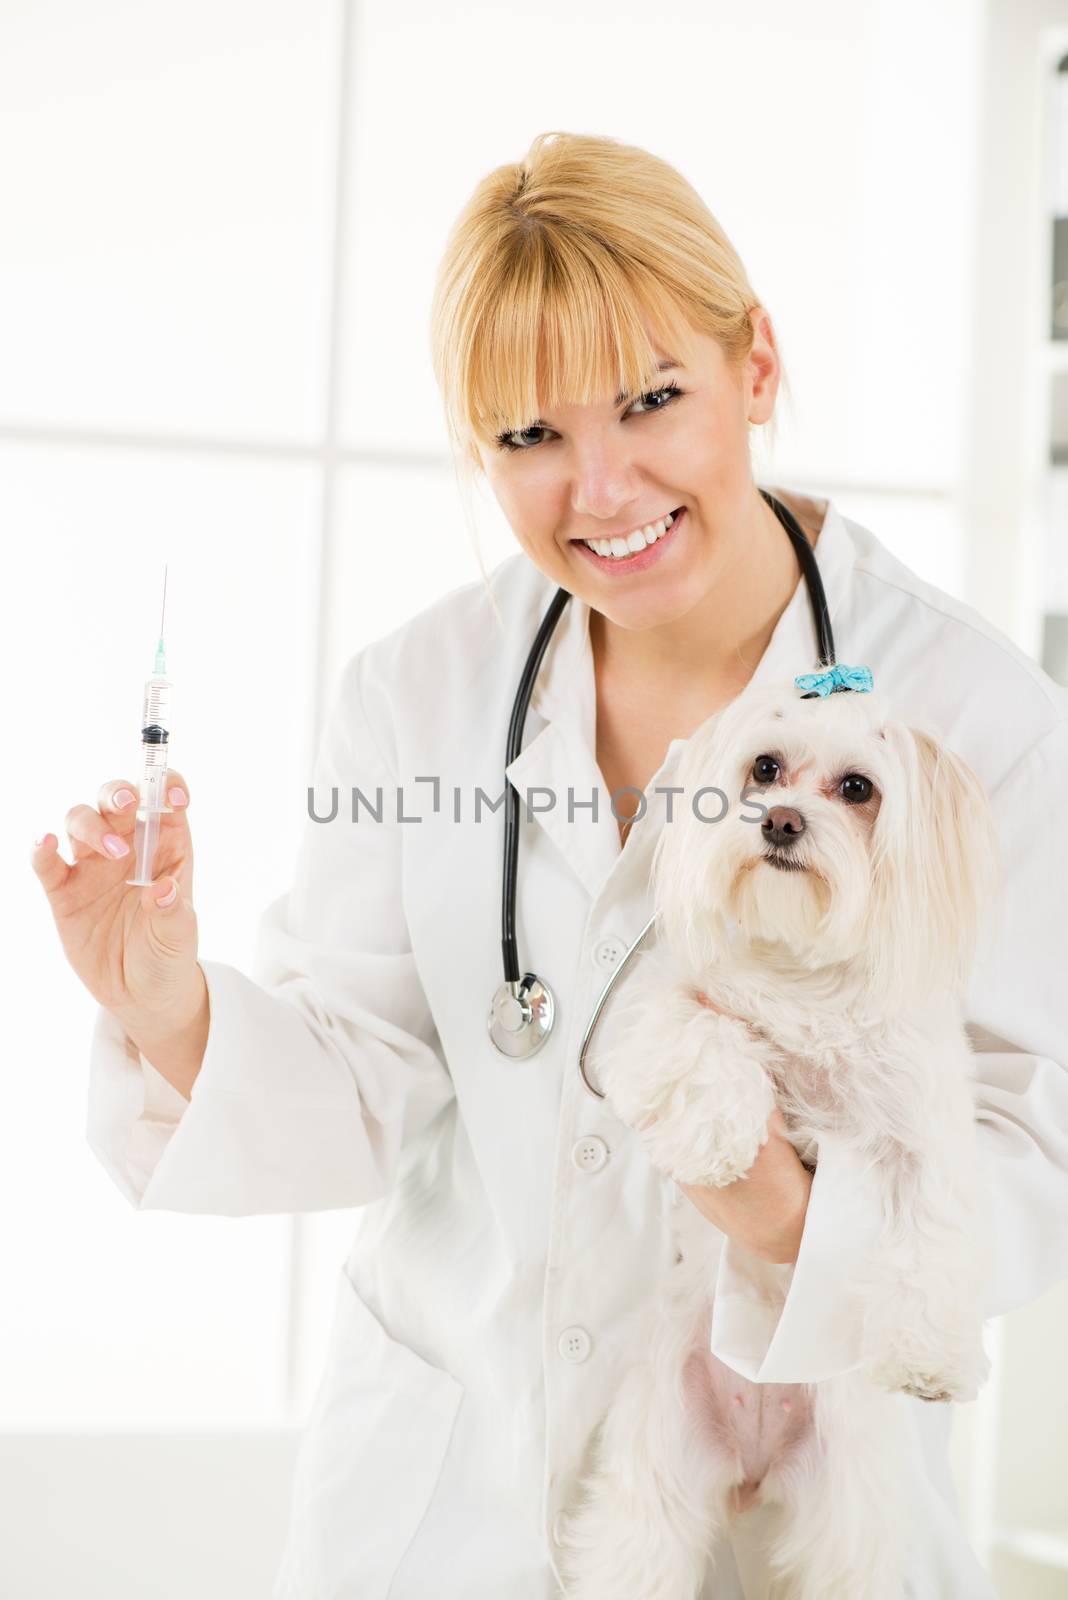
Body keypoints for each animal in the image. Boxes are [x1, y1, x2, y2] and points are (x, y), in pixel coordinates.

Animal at [559, 675, 1004, 1600]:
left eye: (858, 788)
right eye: (765, 768)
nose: (782, 822)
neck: (803, 974)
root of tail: (751, 1468)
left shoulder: (924, 1126)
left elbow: (934, 1231)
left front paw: (933, 1355)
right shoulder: (662, 1009)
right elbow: (701, 1038)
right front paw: (716, 1135)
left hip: (848, 1517)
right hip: (654, 1480)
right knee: (634, 1547)